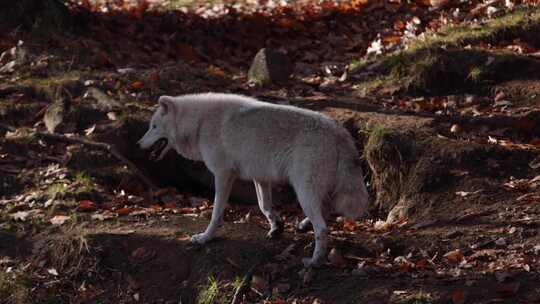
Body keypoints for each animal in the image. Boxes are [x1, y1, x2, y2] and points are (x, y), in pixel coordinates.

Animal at [137, 92, 370, 266]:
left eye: (153, 127)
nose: (138, 144)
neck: (199, 124)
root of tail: (340, 132)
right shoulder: (260, 177)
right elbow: (264, 206)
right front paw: (277, 227)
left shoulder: (223, 175)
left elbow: (216, 213)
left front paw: (205, 237)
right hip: (312, 190)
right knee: (327, 208)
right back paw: (304, 226)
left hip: (303, 189)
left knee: (322, 228)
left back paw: (314, 261)